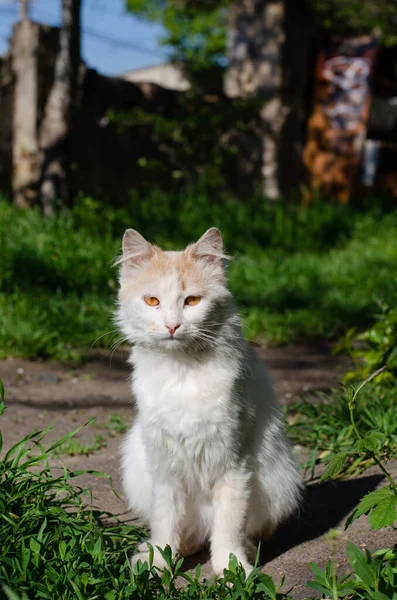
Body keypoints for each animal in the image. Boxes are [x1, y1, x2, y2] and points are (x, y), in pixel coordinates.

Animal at [116, 227, 302, 576]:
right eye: (152, 301)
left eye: (192, 301)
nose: (172, 326)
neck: (182, 372)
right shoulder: (164, 466)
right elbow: (165, 523)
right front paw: (159, 562)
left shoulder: (235, 465)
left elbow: (228, 529)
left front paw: (233, 570)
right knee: (188, 532)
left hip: (279, 476)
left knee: (240, 532)